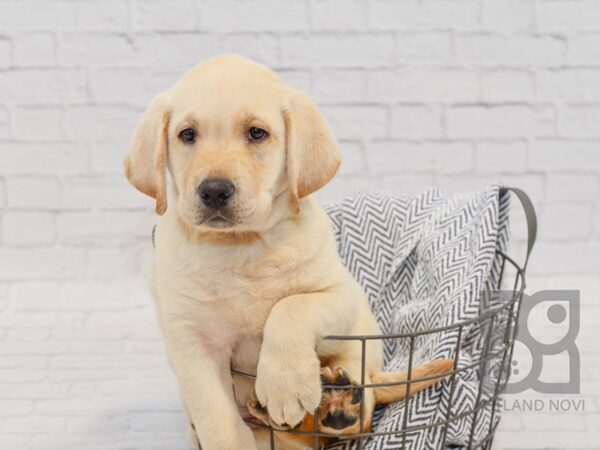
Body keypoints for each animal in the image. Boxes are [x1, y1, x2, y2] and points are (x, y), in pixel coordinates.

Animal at [123, 53, 450, 450]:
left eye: (256, 133)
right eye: (187, 135)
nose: (214, 190)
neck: (242, 246)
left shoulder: (339, 295)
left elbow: (291, 307)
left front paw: (285, 383)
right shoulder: (190, 340)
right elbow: (217, 418)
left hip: (359, 352)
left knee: (362, 413)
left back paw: (339, 403)